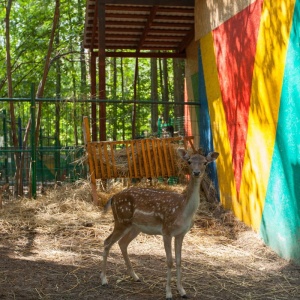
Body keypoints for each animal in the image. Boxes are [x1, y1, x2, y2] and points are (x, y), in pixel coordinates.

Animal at [100, 149, 218, 298]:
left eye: (205, 162)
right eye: (189, 161)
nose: (196, 172)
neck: (183, 210)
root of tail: (113, 197)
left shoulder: (181, 233)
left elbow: (179, 261)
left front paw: (182, 291)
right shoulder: (166, 230)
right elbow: (169, 261)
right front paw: (168, 293)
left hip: (134, 227)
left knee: (122, 243)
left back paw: (135, 277)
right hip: (121, 220)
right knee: (107, 242)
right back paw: (104, 280)